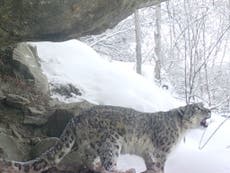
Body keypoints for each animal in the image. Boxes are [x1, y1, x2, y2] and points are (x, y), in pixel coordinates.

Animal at [0, 102, 211, 173]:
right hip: (112, 141)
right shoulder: (162, 151)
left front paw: (149, 168)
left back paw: (94, 167)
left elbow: (150, 162)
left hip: (91, 145)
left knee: (87, 159)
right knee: (109, 164)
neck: (182, 130)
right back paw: (123, 169)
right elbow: (160, 166)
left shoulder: (147, 151)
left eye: (203, 106)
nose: (209, 110)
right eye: (197, 108)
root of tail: (77, 117)